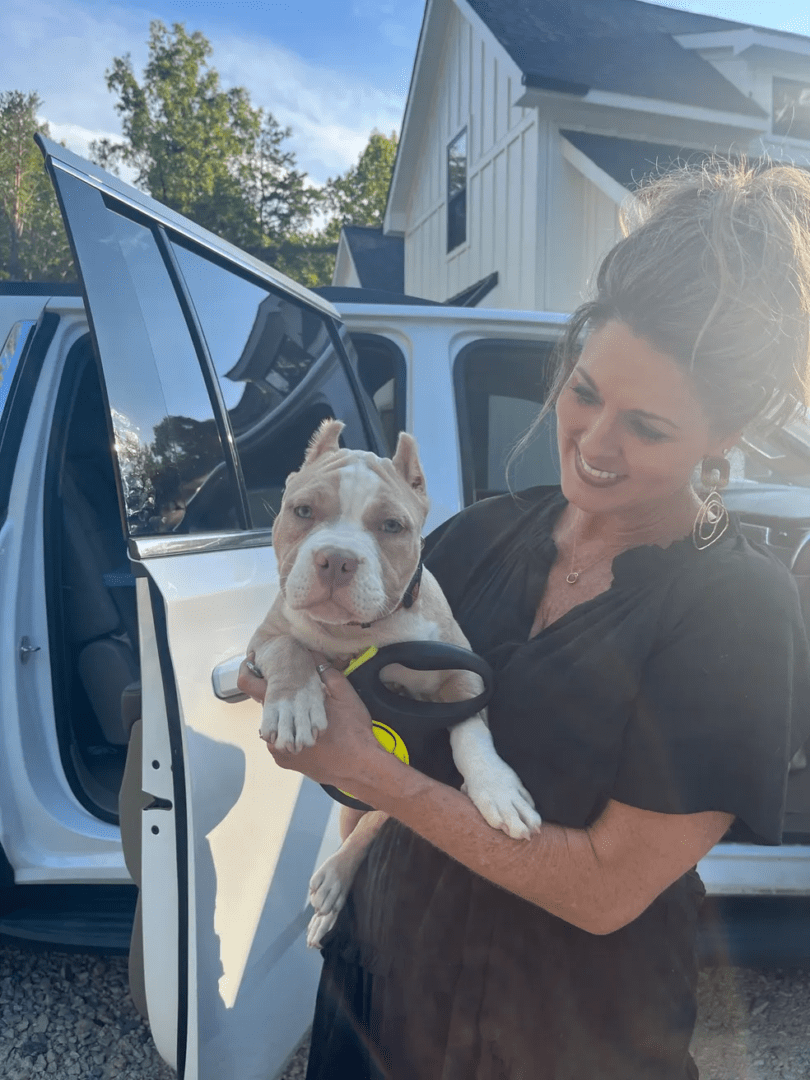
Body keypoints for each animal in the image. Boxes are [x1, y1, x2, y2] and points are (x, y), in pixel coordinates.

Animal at [247, 419, 540, 946]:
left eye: (391, 527)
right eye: (303, 511)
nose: (336, 560)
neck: (356, 635)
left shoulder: (463, 670)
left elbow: (470, 732)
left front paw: (496, 788)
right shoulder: (263, 638)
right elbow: (288, 649)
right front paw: (295, 704)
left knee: (382, 814)